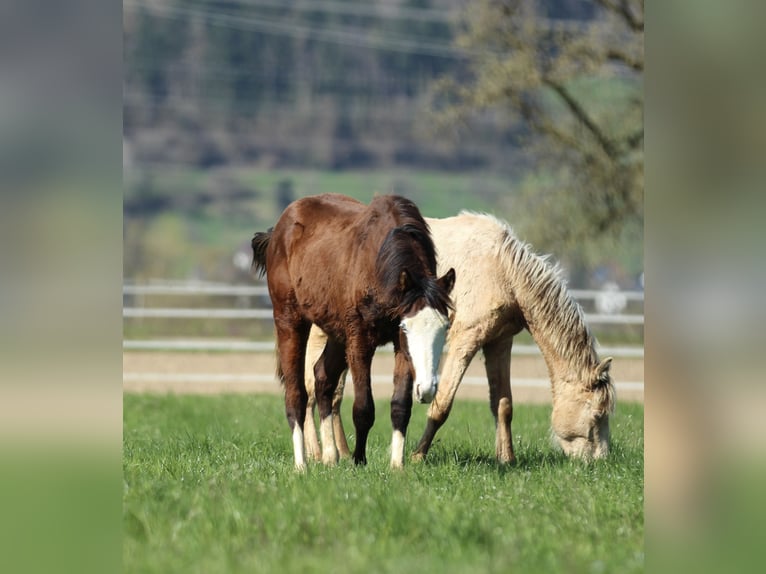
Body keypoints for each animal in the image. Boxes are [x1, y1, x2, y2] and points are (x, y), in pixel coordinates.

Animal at [251, 193, 455, 470]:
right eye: (406, 326)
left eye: (445, 327)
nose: (427, 389)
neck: (378, 260)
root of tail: (278, 231)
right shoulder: (360, 339)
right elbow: (363, 408)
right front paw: (359, 460)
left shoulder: (399, 344)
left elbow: (400, 405)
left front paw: (397, 466)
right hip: (290, 320)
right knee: (296, 395)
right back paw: (301, 464)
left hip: (337, 333)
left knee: (322, 377)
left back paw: (330, 456)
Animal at [303, 211, 616, 464]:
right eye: (597, 415)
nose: (601, 462)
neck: (502, 270)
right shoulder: (466, 339)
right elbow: (442, 405)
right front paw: (417, 456)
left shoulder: (499, 342)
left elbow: (503, 404)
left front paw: (507, 459)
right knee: (312, 388)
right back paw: (317, 453)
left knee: (331, 393)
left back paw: (341, 452)